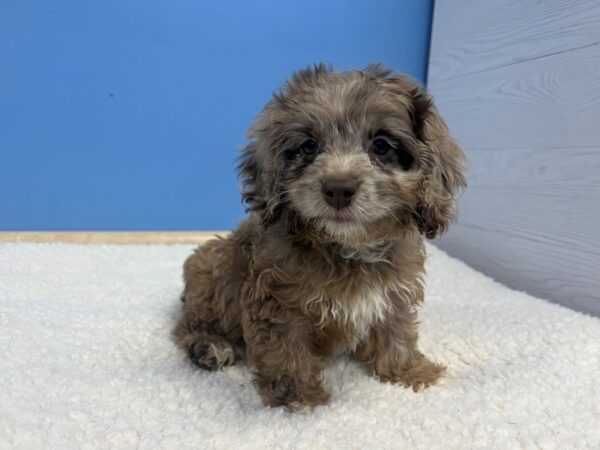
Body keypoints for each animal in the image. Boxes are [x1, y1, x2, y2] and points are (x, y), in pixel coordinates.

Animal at [172, 64, 464, 412]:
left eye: (381, 145)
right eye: (309, 146)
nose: (338, 187)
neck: (348, 247)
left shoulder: (394, 292)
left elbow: (396, 330)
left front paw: (409, 370)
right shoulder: (279, 302)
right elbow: (287, 350)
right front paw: (299, 397)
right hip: (208, 275)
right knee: (186, 325)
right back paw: (209, 346)